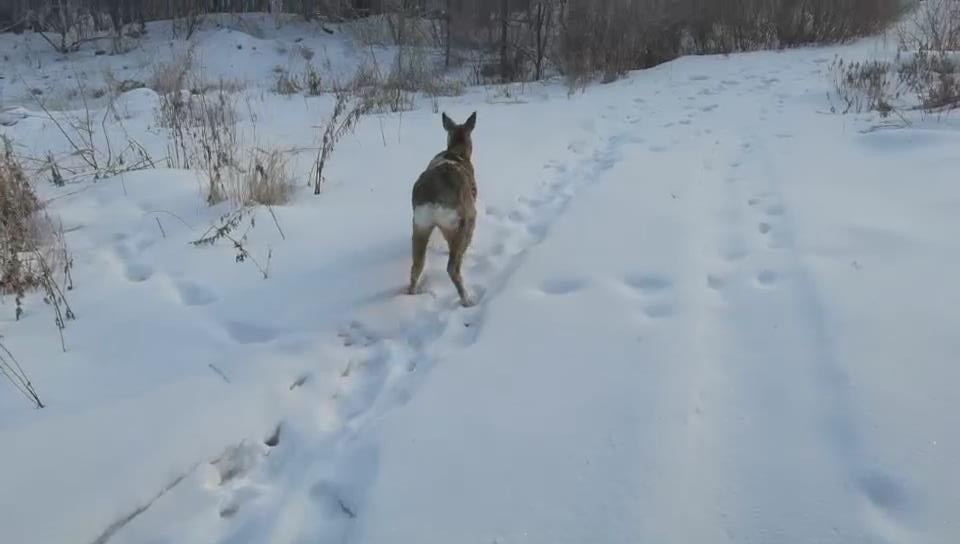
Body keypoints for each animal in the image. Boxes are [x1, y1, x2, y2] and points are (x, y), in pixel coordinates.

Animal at [406, 111, 478, 306]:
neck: (456, 152)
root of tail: (432, 200)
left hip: (420, 224)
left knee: (417, 265)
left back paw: (412, 294)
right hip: (460, 221)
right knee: (452, 267)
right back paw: (466, 300)